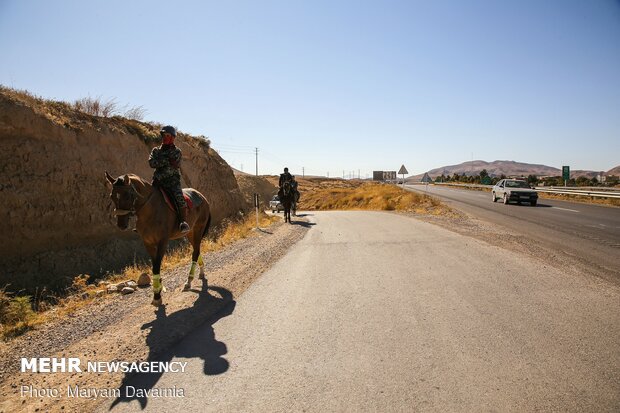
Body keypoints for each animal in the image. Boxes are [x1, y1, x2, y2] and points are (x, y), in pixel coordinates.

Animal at [105, 171, 212, 306]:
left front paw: (157, 296)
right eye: (112, 196)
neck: (150, 210)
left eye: (128, 196)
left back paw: (189, 281)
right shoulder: (148, 243)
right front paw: (158, 289)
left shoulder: (162, 242)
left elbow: (156, 266)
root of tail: (203, 197)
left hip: (198, 229)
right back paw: (201, 273)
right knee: (196, 250)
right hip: (190, 233)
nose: (121, 224)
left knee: (195, 252)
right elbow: (154, 266)